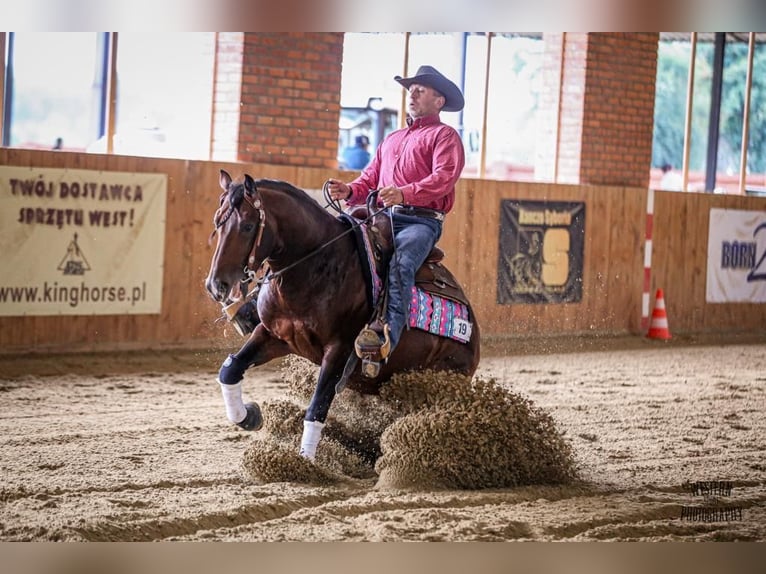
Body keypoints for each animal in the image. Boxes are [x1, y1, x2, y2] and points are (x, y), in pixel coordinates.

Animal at [205, 170, 480, 461]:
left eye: (247, 226)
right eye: (217, 222)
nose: (216, 285)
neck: (316, 263)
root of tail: (472, 329)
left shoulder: (339, 349)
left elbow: (317, 407)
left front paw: (305, 462)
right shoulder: (273, 335)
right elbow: (230, 370)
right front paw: (249, 416)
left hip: (443, 377)